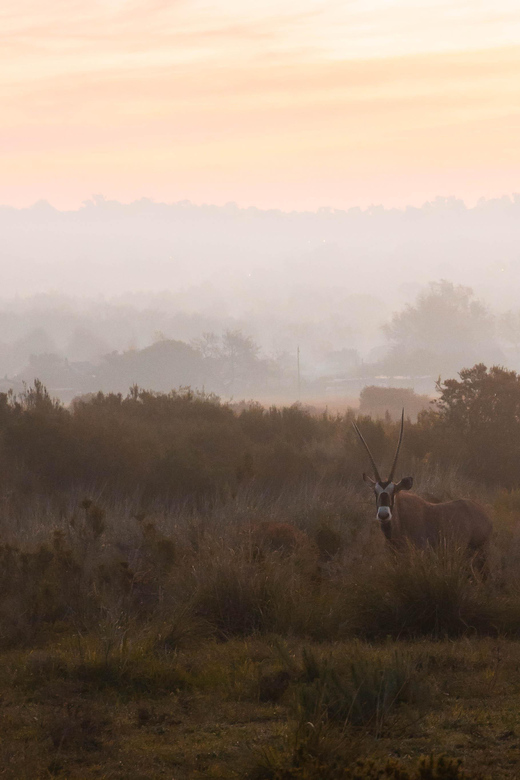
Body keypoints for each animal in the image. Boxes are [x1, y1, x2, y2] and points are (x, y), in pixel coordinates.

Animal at [354, 412, 492, 568]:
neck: (401, 520)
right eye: (375, 492)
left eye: (393, 492)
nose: (383, 515)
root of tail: (485, 514)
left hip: (480, 554)